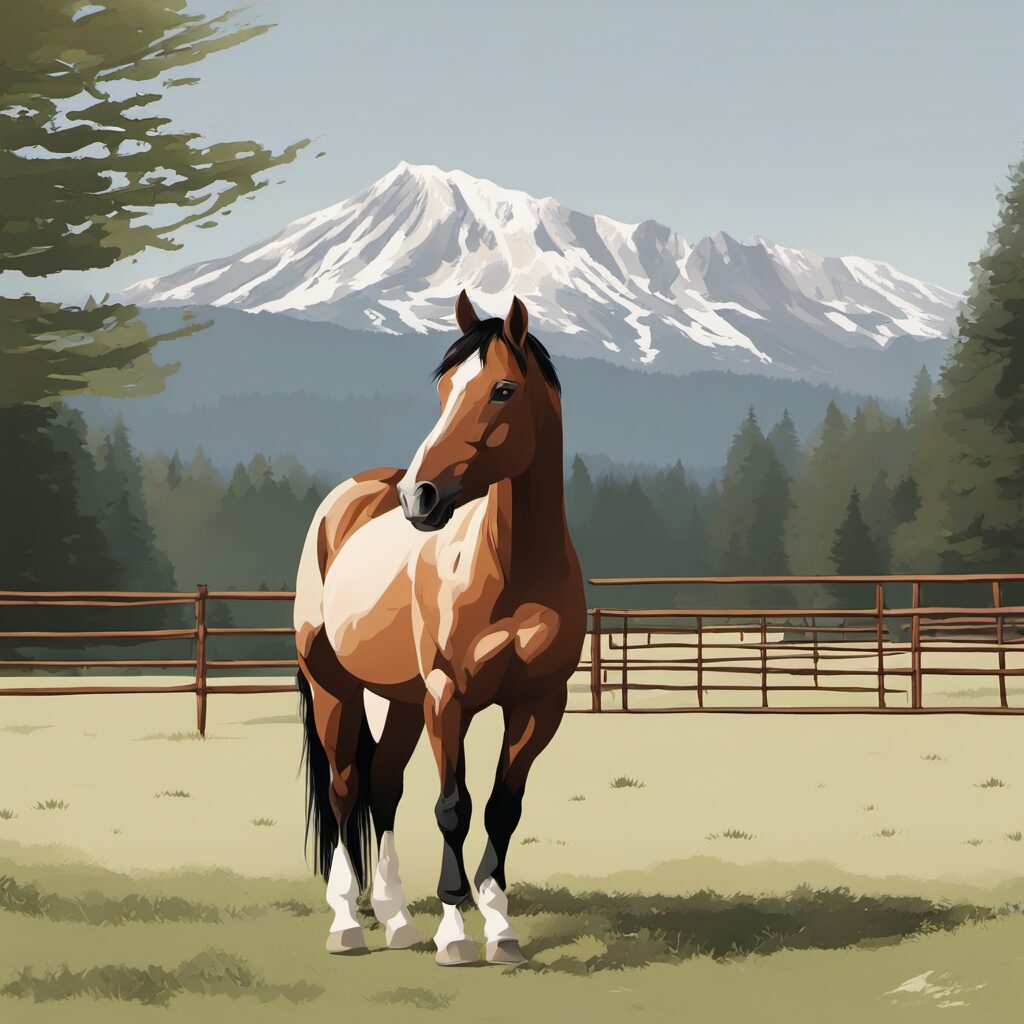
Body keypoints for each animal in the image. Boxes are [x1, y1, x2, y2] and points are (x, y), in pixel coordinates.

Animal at [292, 291, 586, 966]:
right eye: (445, 386)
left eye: (503, 388)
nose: (419, 497)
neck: (511, 569)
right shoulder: (448, 696)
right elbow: (454, 807)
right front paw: (455, 933)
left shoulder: (539, 705)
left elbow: (503, 809)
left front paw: (500, 928)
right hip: (334, 687)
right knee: (345, 788)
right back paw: (347, 924)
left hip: (400, 701)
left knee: (383, 788)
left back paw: (397, 920)